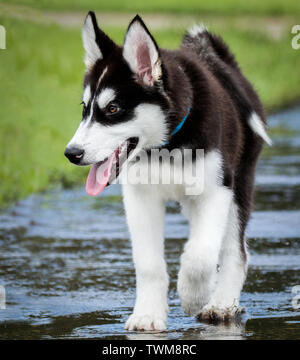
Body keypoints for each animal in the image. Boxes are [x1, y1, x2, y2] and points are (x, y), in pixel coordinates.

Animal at [64, 11, 270, 332]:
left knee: (235, 251)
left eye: (113, 109)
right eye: (85, 109)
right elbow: (149, 263)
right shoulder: (140, 198)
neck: (166, 147)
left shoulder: (217, 190)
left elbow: (200, 254)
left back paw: (222, 303)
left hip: (240, 184)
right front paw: (147, 314)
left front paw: (194, 295)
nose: (71, 153)